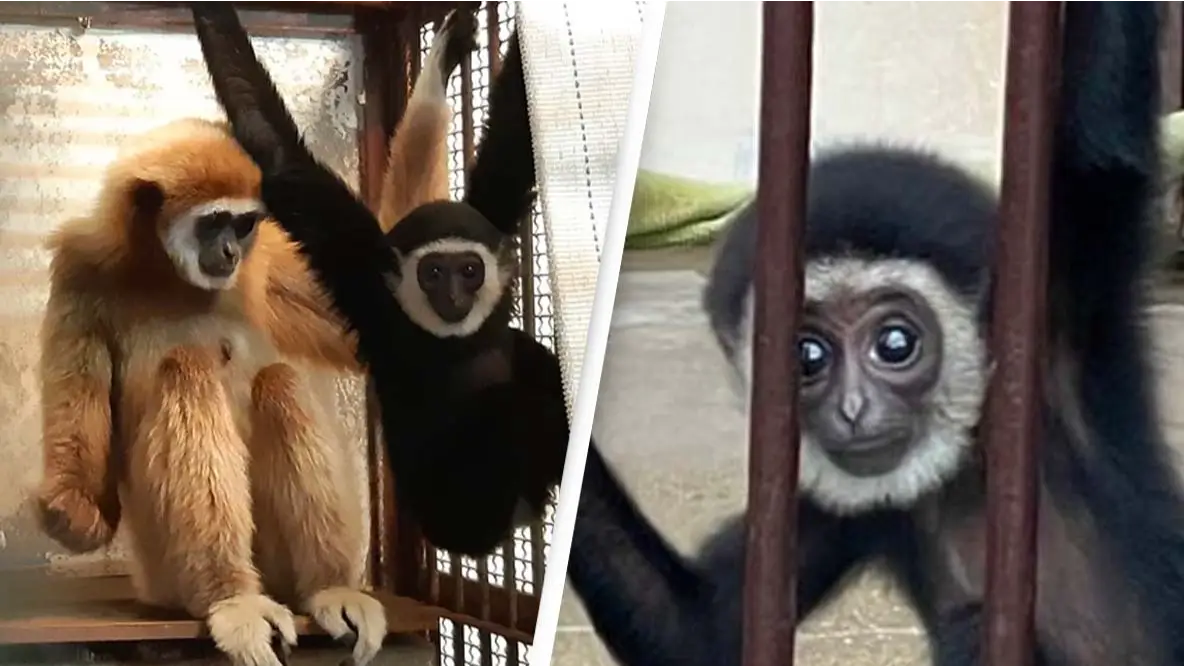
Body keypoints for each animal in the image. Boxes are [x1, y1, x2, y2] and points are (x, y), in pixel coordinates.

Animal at [177, 0, 570, 558]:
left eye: (469, 270)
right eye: (433, 272)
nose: (453, 292)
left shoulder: (487, 225)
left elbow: (515, 136)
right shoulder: (365, 280)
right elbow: (278, 154)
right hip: (466, 513)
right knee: (512, 407)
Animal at [565, 0, 1184, 664]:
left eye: (895, 344)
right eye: (808, 356)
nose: (853, 407)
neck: (970, 456)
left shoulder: (1057, 315)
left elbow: (1102, 148)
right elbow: (695, 633)